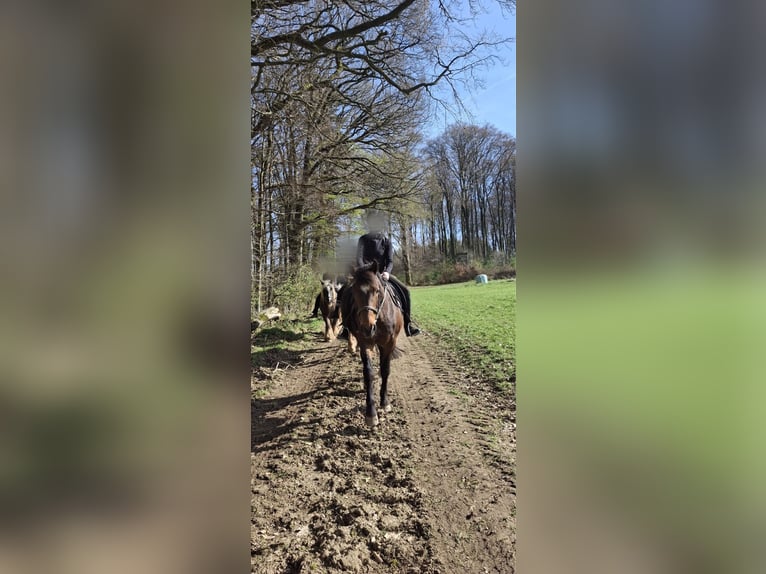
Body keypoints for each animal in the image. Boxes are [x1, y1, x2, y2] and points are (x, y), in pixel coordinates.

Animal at [341, 261, 404, 427]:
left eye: (377, 291)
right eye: (354, 291)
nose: (367, 327)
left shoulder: (389, 344)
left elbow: (385, 370)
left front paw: (385, 402)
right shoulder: (365, 343)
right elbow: (368, 373)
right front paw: (371, 414)